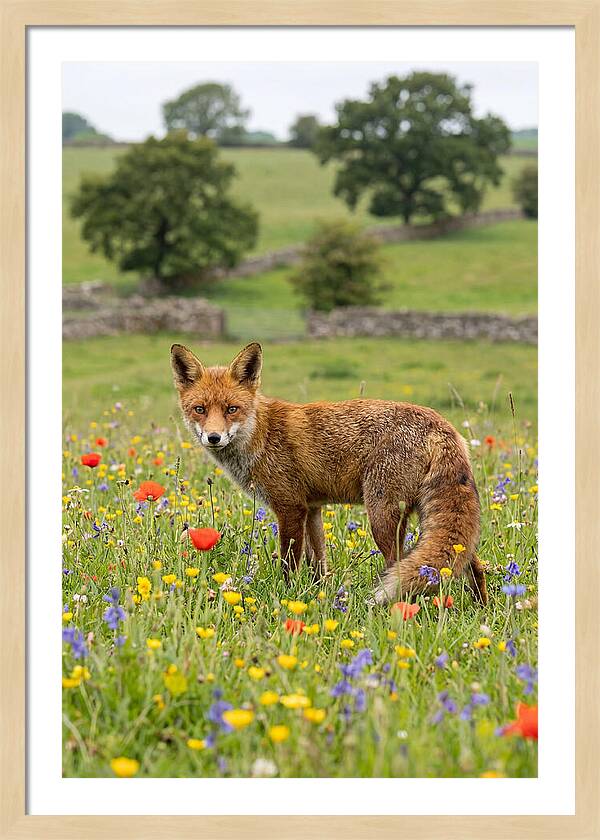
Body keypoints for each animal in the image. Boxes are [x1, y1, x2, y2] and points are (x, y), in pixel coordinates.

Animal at [171, 341, 488, 605]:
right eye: (200, 409)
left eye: (231, 409)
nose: (213, 437)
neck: (261, 434)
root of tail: (440, 425)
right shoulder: (312, 509)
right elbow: (318, 564)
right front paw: (319, 595)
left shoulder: (290, 507)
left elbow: (289, 563)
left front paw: (286, 596)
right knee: (472, 564)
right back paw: (481, 608)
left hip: (382, 516)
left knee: (398, 565)